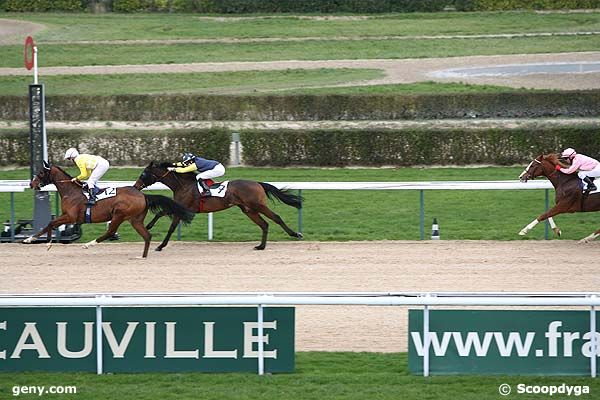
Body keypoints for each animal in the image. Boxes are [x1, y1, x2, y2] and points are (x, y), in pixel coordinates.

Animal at [26, 161, 195, 258]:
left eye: (41, 172)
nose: (31, 184)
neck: (71, 191)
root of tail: (143, 195)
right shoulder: (66, 215)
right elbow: (51, 223)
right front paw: (38, 240)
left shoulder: (71, 217)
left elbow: (51, 223)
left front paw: (37, 240)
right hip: (135, 219)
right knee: (147, 236)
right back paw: (143, 256)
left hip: (119, 215)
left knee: (111, 231)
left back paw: (89, 244)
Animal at [134, 162, 302, 250]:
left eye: (143, 174)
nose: (136, 186)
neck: (183, 185)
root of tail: (257, 183)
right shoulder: (179, 207)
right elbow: (161, 213)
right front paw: (149, 226)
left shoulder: (184, 208)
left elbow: (171, 227)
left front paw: (160, 245)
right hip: (248, 210)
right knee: (264, 224)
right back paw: (261, 246)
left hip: (257, 205)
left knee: (276, 217)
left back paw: (295, 234)